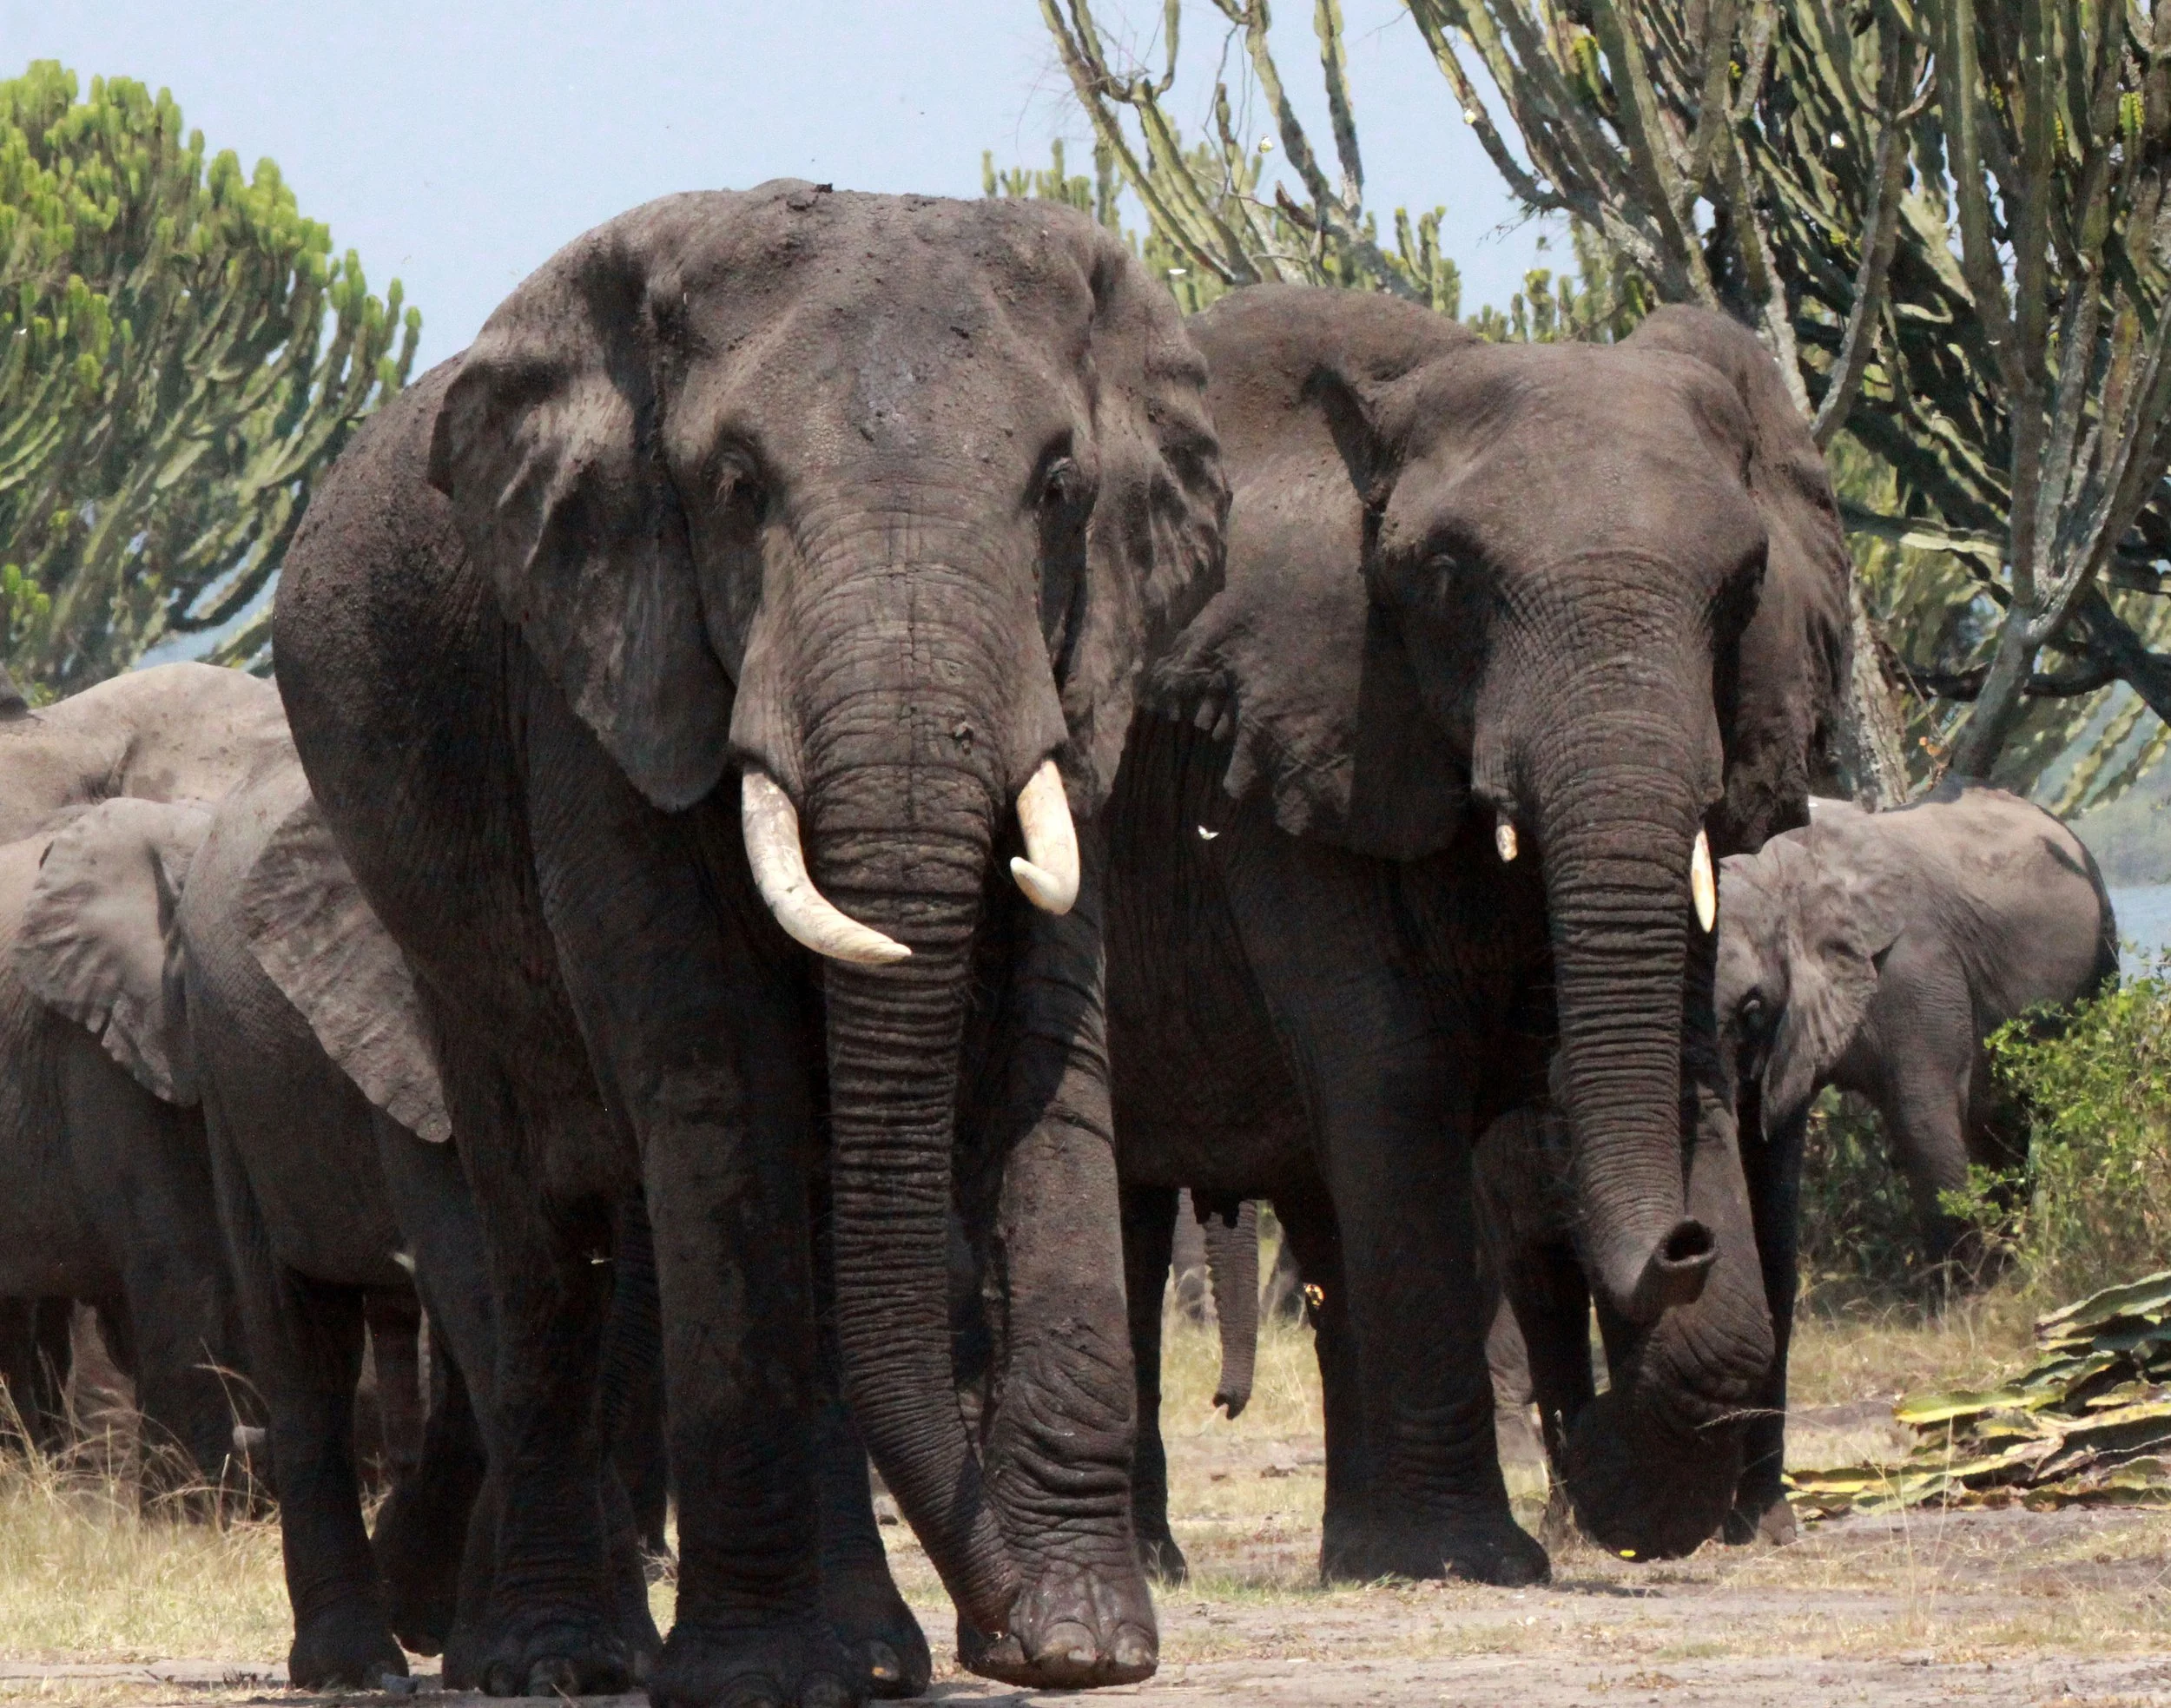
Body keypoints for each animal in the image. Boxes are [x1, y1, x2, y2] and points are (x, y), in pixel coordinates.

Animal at [271, 184, 1226, 1705]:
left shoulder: (1081, 665)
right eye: (734, 488)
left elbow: (1052, 1055)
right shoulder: (600, 671)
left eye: (1061, 488)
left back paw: (873, 1656)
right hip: (431, 939)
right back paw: (561, 1658)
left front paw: (1089, 1643)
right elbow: (719, 1074)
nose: (1004, 1624)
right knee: (540, 1233)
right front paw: (762, 1672)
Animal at [1107, 285, 1850, 1581]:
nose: (1686, 1240)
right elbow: (1392, 1072)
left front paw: (1605, 1487)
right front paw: (1482, 1552)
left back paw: (1353, 1552)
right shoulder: (1292, 740)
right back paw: (1167, 1564)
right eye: (1450, 579)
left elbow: (1685, 1063)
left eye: (1744, 585)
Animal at [1713, 778, 2119, 1537]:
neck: (1785, 874)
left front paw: (1960, 1314)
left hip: (2098, 958)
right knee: (2000, 1128)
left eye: (1751, 1008)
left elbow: (1924, 1118)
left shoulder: (1913, 965)